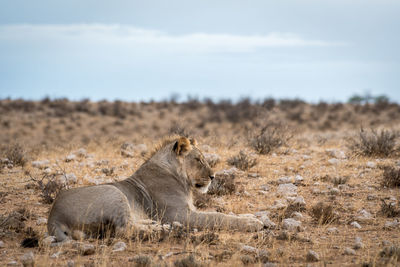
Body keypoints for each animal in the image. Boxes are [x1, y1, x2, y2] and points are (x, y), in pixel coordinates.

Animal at [47, 137, 262, 242]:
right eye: (198, 159)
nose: (213, 177)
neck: (178, 176)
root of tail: (53, 216)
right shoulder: (178, 214)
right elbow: (217, 217)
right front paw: (253, 223)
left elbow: (221, 213)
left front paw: (252, 217)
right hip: (113, 192)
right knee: (123, 230)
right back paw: (160, 230)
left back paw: (155, 225)